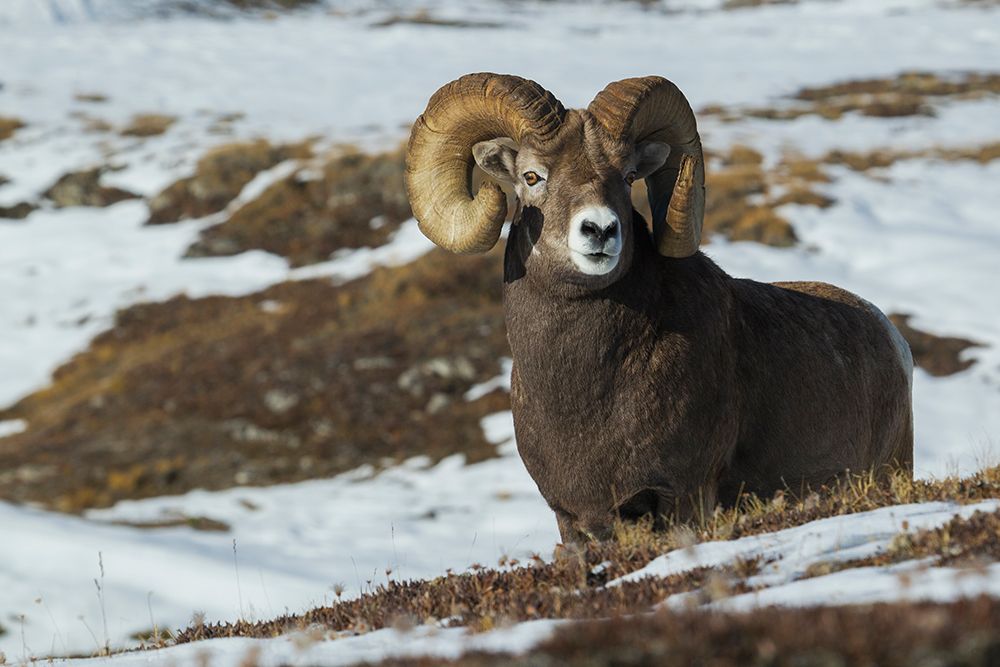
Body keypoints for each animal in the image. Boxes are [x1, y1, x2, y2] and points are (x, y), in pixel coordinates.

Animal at [404, 73, 913, 544]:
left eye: (629, 176)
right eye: (532, 177)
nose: (600, 230)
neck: (585, 392)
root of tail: (891, 337)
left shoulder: (682, 498)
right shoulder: (571, 521)